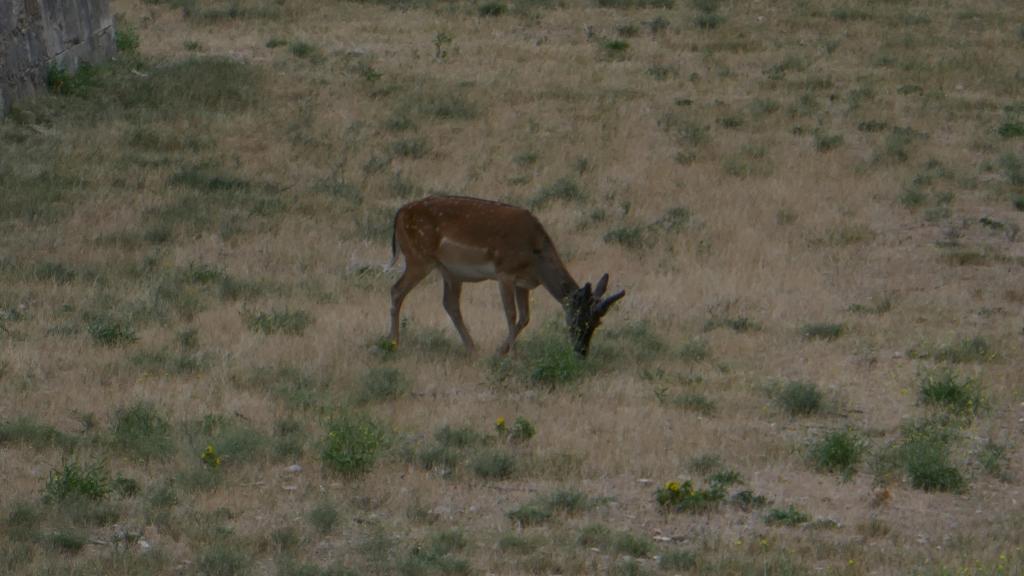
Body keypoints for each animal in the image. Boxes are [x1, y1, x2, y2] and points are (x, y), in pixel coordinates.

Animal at [387, 194, 622, 354]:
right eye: (578, 319)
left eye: (597, 323)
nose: (581, 352)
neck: (535, 257)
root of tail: (399, 214)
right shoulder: (505, 272)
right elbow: (511, 313)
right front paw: (512, 354)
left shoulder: (523, 282)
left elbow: (525, 317)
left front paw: (501, 351)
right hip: (419, 258)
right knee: (396, 289)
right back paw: (393, 341)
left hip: (449, 271)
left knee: (449, 303)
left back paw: (472, 348)